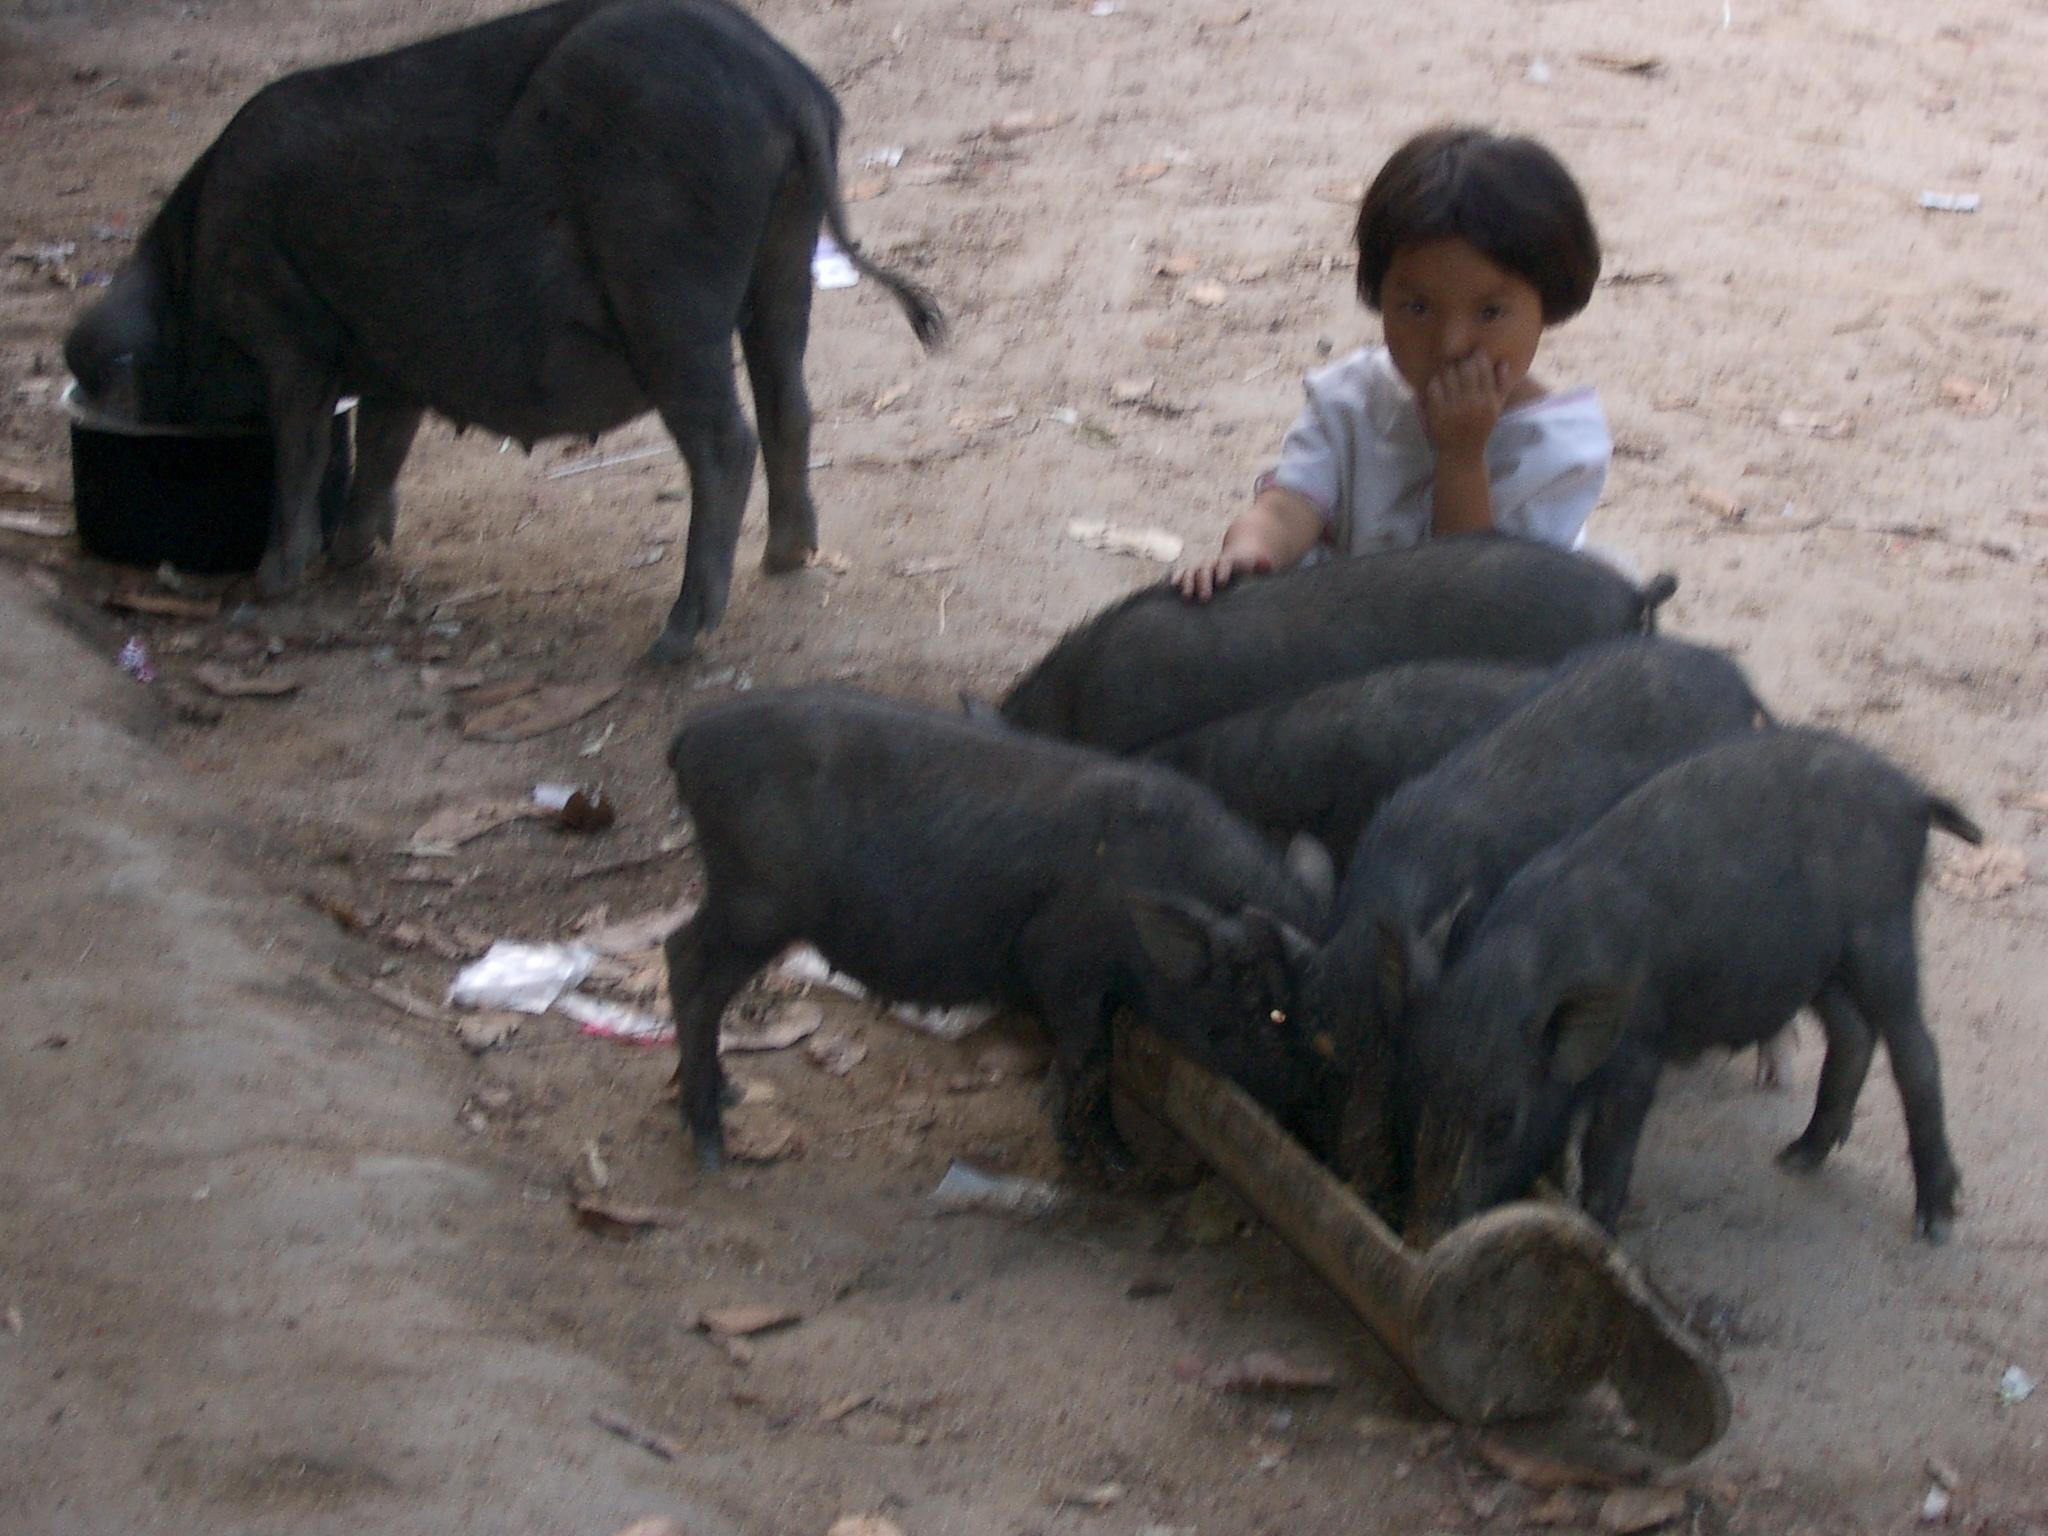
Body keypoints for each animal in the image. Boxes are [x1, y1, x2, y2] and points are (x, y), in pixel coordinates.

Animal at [63, 0, 944, 662]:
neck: (190, 269)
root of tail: (788, 88)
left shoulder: (283, 324)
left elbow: (301, 450)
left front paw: (273, 582)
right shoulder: (392, 362)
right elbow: (381, 443)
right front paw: (352, 553)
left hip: (669, 287)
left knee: (726, 441)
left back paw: (672, 644)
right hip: (783, 254)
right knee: (789, 405)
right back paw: (784, 559)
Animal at [663, 687, 1335, 1172]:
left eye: (1313, 1012)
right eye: (1269, 1010)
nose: (1309, 1102)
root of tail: (688, 739)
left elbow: (1091, 1061)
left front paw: (1094, 1144)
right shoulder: (1058, 962)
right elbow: (1090, 1060)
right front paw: (1108, 1162)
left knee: (676, 951)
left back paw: (727, 1097)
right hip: (754, 904)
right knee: (690, 970)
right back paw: (712, 1146)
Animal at [1396, 727, 1976, 1244]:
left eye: (1501, 1121)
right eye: (1423, 1093)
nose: (1426, 1233)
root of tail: (1912, 794)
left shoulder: (1638, 1051)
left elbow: (1608, 1150)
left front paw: (1599, 1230)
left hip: (1882, 935)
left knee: (1917, 1051)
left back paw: (1934, 1223)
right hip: (1819, 967)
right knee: (1853, 1032)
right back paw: (1795, 1157)